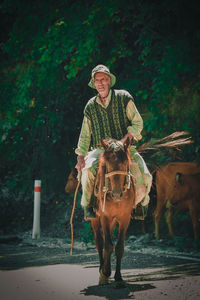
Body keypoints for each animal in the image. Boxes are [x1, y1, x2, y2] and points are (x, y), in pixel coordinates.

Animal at [91, 136, 136, 286]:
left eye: (125, 162)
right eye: (108, 164)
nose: (116, 194)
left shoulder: (124, 218)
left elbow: (119, 247)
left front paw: (118, 277)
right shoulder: (104, 217)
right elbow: (107, 245)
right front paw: (105, 272)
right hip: (95, 219)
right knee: (99, 242)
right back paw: (102, 269)